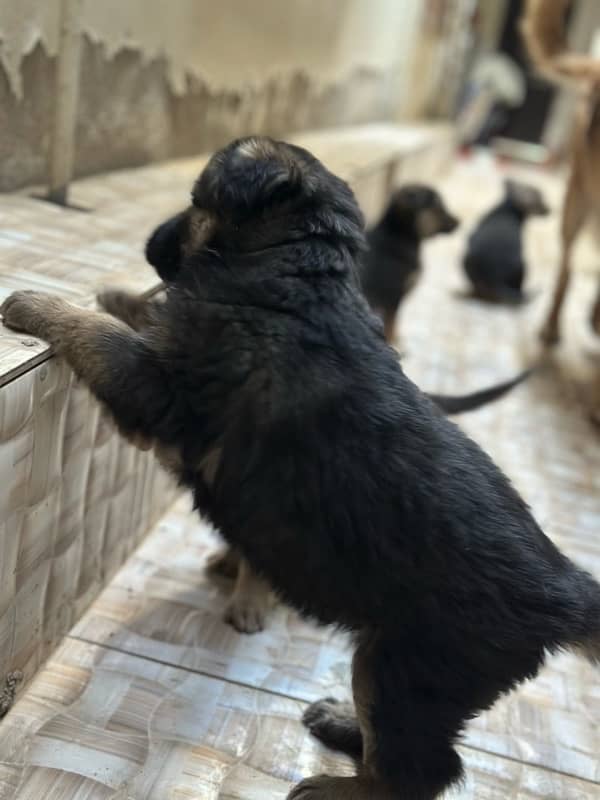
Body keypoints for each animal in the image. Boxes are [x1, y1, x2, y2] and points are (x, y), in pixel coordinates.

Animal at [356, 183, 460, 342]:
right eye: (438, 207)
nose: (459, 222)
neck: (399, 235)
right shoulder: (394, 297)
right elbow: (392, 322)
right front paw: (395, 340)